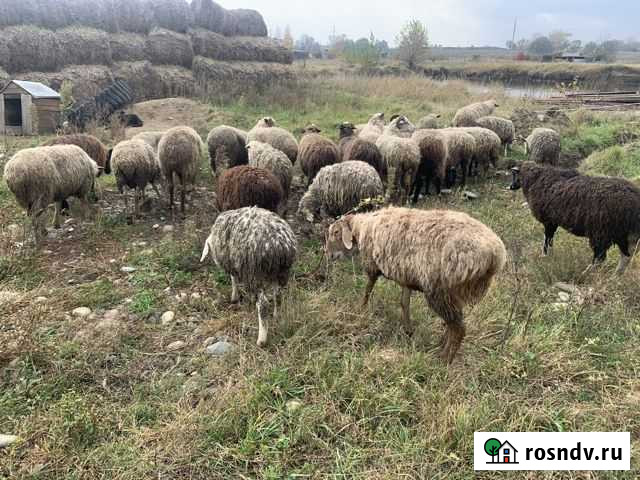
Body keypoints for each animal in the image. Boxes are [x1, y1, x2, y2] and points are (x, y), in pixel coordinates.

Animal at [200, 206, 297, 347]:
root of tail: (279, 244)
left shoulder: (234, 262)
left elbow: (233, 279)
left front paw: (234, 297)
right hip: (281, 272)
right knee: (278, 296)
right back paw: (277, 316)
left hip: (255, 272)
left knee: (263, 304)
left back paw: (261, 339)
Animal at [325, 207, 507, 363]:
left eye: (335, 232)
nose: (328, 254)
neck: (363, 227)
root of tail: (495, 255)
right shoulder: (406, 276)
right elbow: (404, 303)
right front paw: (408, 330)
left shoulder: (372, 265)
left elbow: (367, 289)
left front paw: (360, 309)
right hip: (452, 292)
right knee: (453, 323)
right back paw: (440, 346)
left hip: (439, 289)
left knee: (458, 327)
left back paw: (444, 359)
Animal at [510, 162, 640, 275]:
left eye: (514, 175)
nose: (510, 187)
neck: (535, 180)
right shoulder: (553, 222)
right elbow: (550, 240)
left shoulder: (549, 221)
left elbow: (547, 239)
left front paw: (545, 255)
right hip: (621, 233)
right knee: (626, 255)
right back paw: (616, 275)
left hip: (603, 232)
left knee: (600, 257)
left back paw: (586, 272)